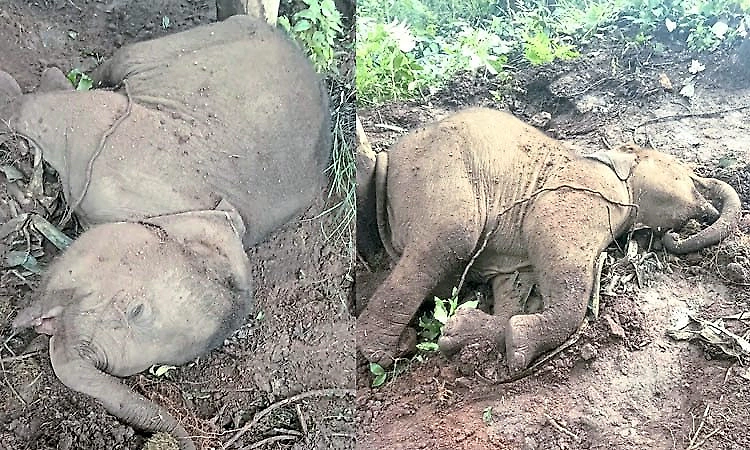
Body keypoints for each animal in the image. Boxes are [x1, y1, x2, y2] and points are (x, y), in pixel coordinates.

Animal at [356, 108, 741, 376]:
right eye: (689, 178)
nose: (673, 235)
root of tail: (387, 158)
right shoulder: (579, 194)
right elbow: (556, 247)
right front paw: (518, 344)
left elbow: (513, 289)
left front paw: (460, 333)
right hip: (439, 178)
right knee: (450, 237)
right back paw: (384, 351)